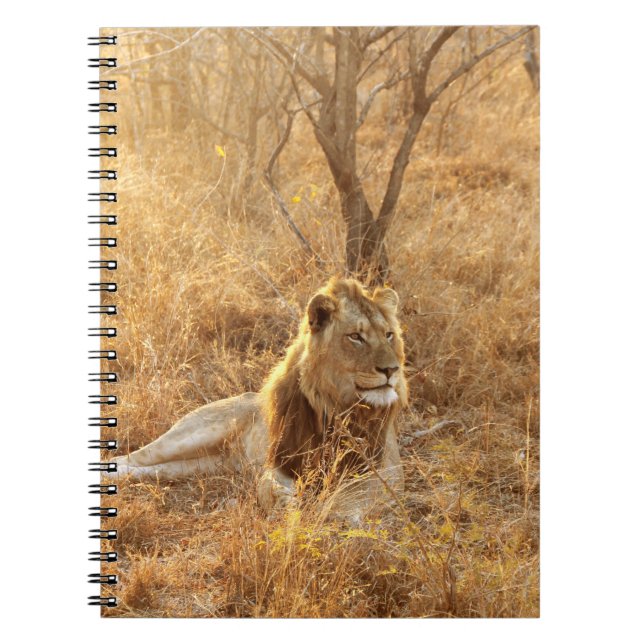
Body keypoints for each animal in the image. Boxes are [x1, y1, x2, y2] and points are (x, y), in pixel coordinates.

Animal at [111, 277, 408, 521]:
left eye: (389, 335)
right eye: (355, 337)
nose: (392, 370)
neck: (336, 406)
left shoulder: (386, 468)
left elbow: (356, 493)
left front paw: (334, 512)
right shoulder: (280, 461)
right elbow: (267, 485)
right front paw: (284, 504)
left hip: (202, 465)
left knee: (150, 469)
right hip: (190, 435)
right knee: (131, 457)